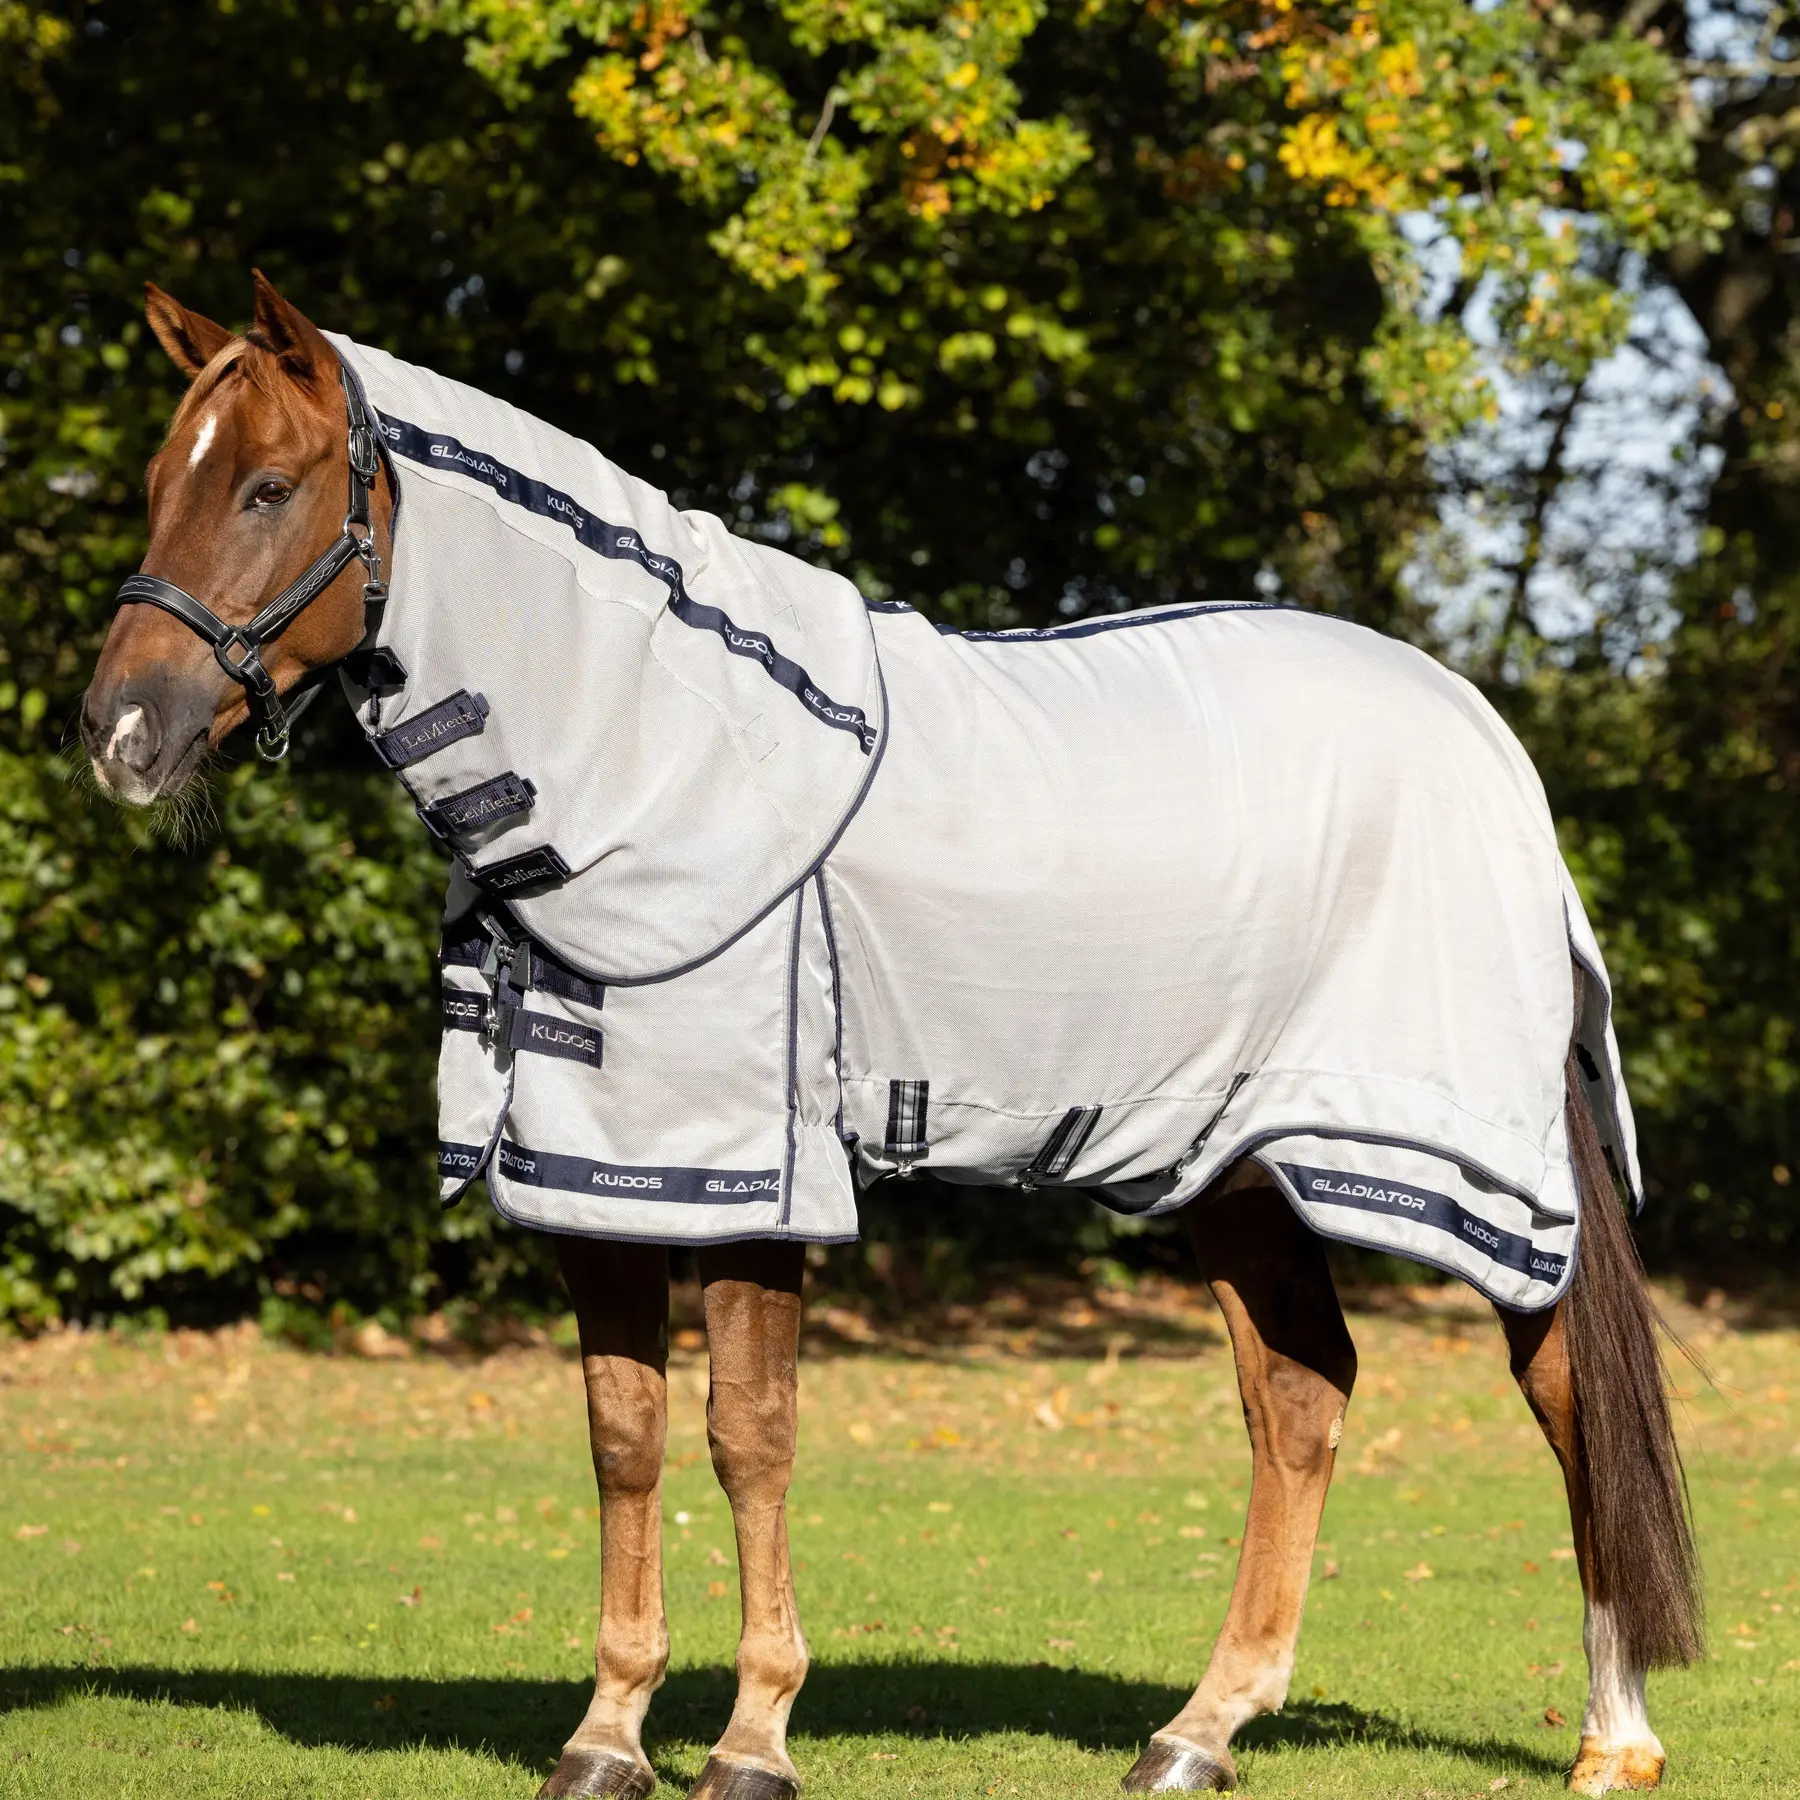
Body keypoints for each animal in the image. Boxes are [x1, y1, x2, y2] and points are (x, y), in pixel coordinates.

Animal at [79, 274, 1701, 1798]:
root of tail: (1485, 742)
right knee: (1301, 1400)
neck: (661, 750)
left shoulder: (746, 1182)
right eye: (161, 478)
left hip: (1470, 1169)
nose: (119, 733)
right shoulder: (596, 1184)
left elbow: (747, 1435)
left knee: (1564, 1393)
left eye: (268, 486)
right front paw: (608, 1736)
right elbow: (624, 1436)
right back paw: (1201, 1731)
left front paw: (753, 1740)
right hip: (1235, 1164)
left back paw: (1611, 1736)